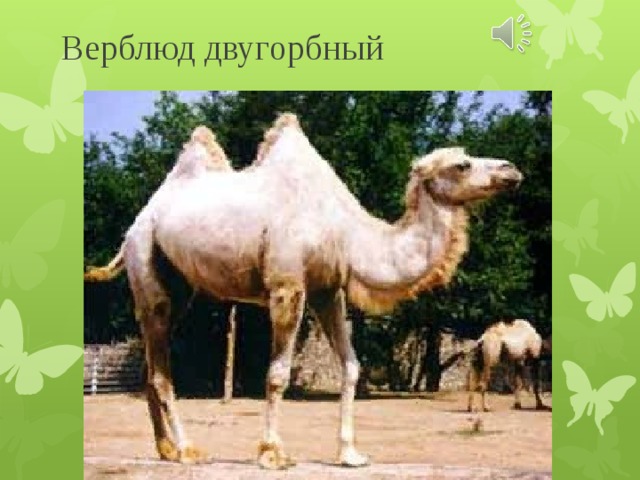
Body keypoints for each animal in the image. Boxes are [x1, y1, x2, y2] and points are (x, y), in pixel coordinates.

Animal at [84, 113, 523, 469]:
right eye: (462, 164)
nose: (512, 169)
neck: (345, 230)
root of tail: (136, 225)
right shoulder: (287, 285)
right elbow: (278, 374)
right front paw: (272, 454)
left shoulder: (328, 289)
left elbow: (351, 366)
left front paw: (350, 454)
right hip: (146, 263)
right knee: (161, 369)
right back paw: (189, 449)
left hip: (180, 288)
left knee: (151, 367)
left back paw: (165, 449)